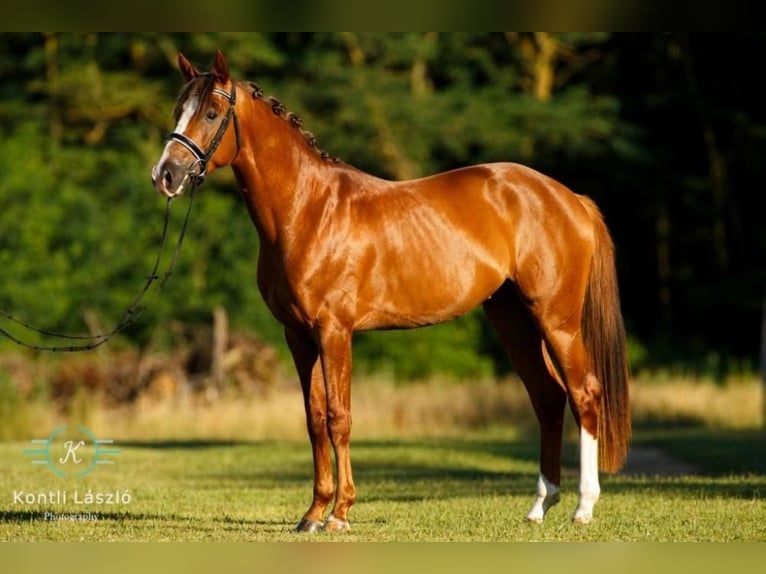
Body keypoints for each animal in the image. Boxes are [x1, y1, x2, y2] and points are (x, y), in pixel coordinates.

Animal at [152, 51, 632, 532]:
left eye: (212, 113)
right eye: (178, 110)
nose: (166, 174)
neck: (308, 209)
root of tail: (569, 198)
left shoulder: (334, 332)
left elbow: (339, 417)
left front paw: (340, 512)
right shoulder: (298, 336)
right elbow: (313, 419)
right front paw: (313, 513)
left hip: (557, 320)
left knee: (584, 394)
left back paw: (583, 506)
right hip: (512, 320)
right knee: (548, 397)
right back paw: (539, 506)